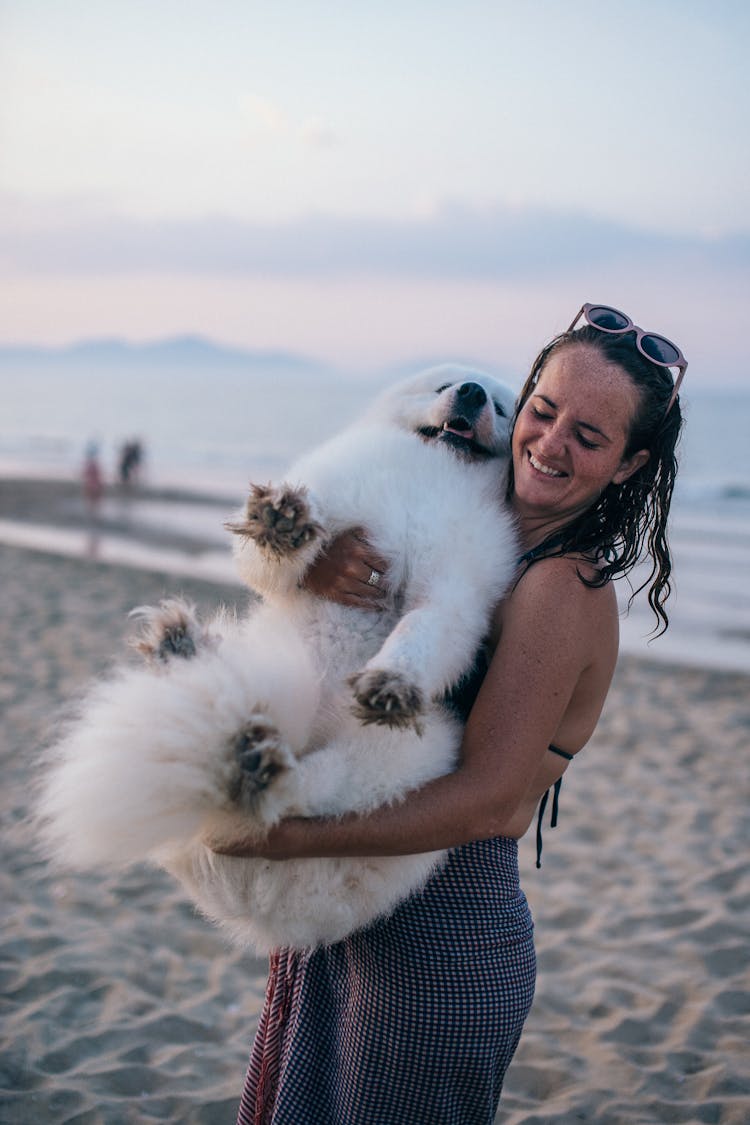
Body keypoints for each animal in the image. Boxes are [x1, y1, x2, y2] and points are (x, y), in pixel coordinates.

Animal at [38, 366, 519, 949]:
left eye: (500, 404)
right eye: (445, 385)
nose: (472, 393)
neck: (432, 480)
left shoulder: (455, 592)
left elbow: (424, 634)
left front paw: (393, 680)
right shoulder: (333, 507)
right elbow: (273, 559)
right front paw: (280, 521)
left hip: (413, 755)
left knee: (313, 792)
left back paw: (261, 767)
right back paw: (182, 649)